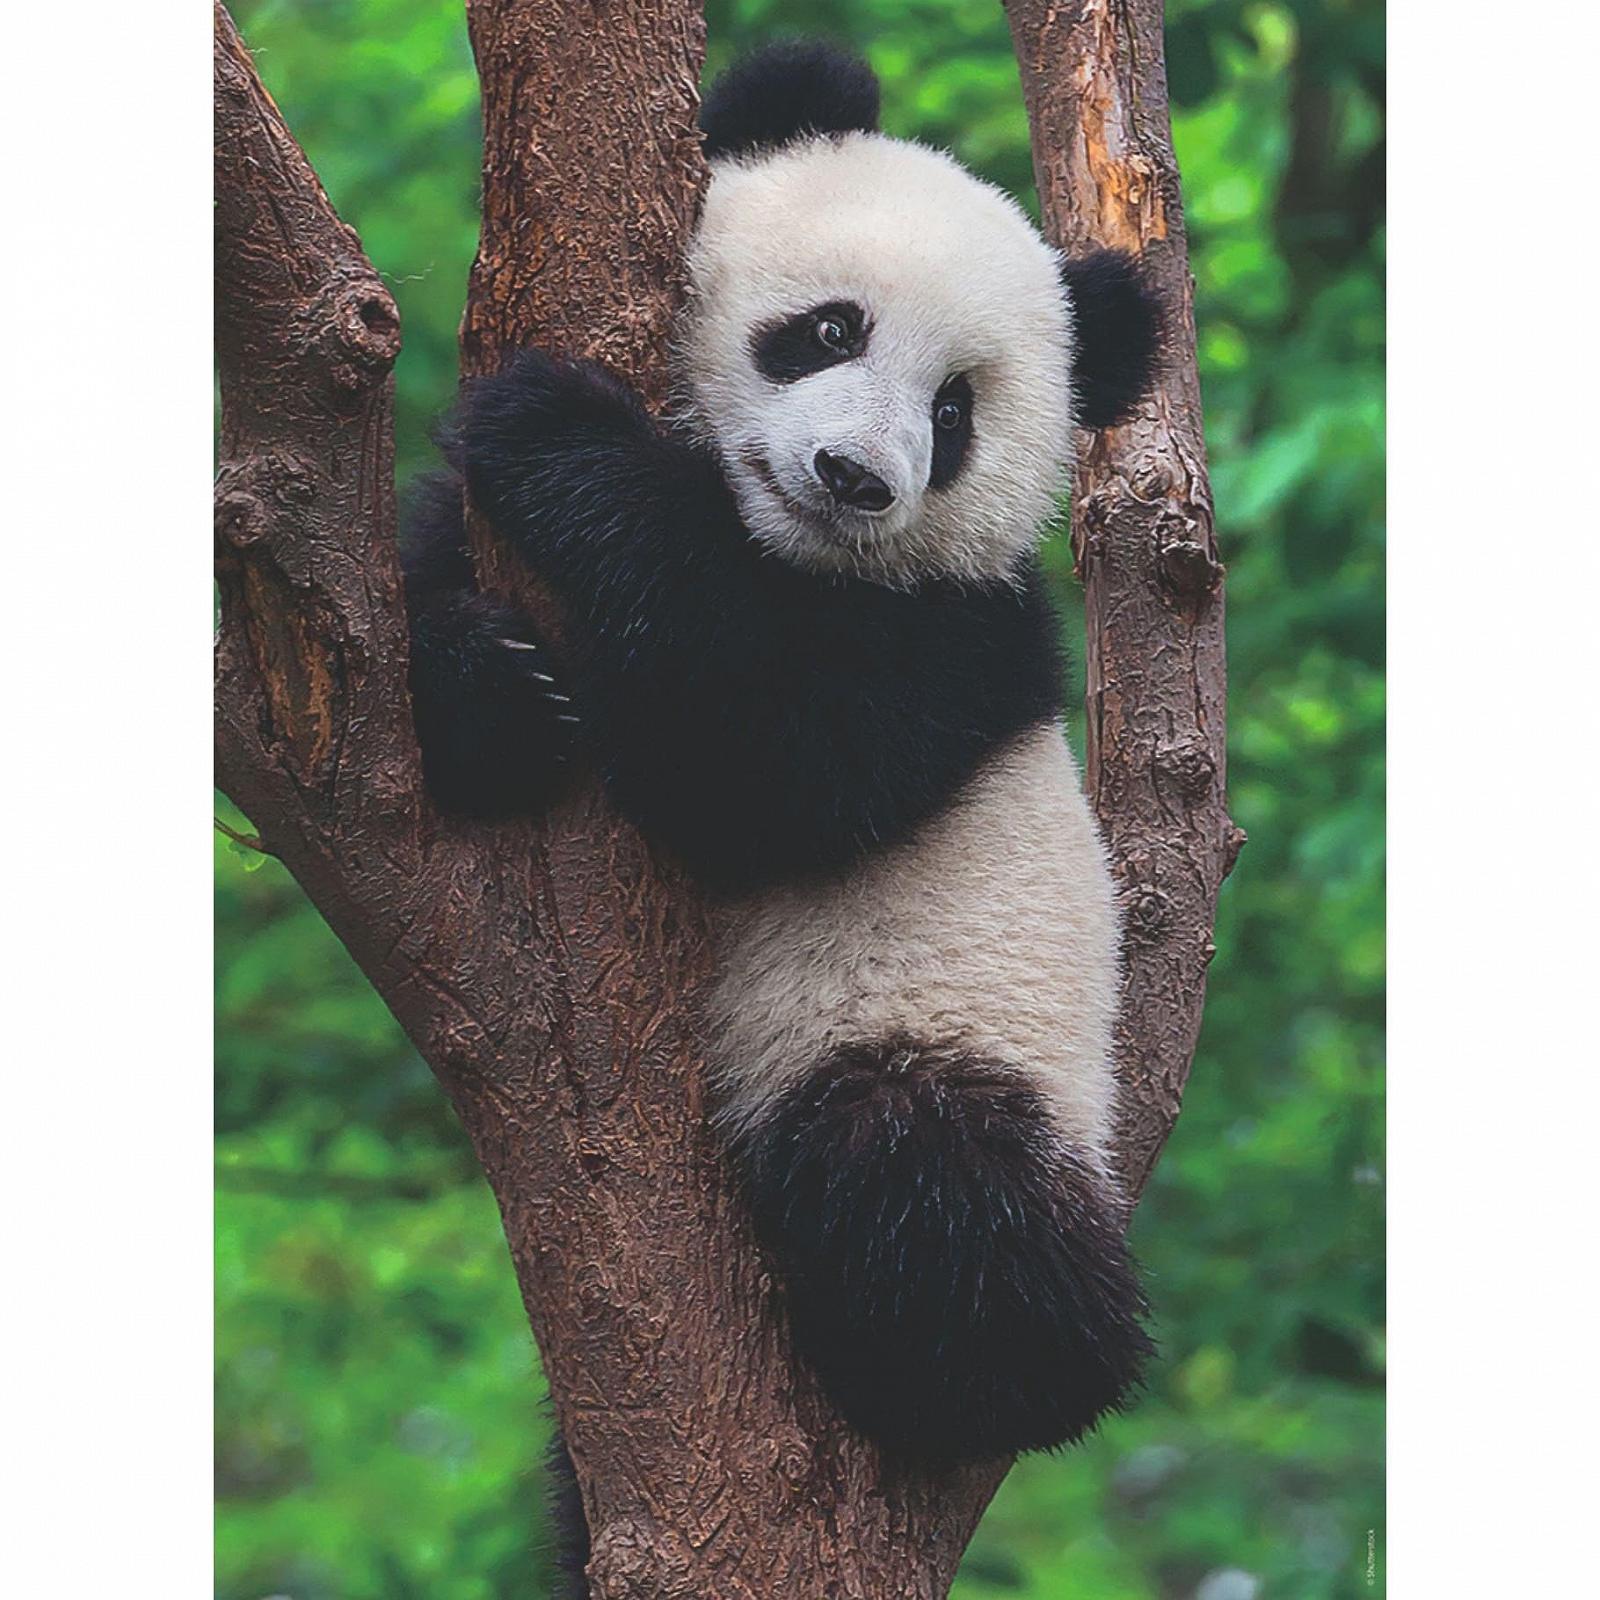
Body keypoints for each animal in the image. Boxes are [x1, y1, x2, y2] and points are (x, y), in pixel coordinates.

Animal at [404, 41, 1162, 1467]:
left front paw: (555, 431)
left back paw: (970, 1369)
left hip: (943, 1030)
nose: (856, 476)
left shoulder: (957, 642)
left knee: (929, 1181)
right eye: (828, 329)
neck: (786, 550)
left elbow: (767, 769)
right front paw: (497, 695)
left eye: (954, 411)